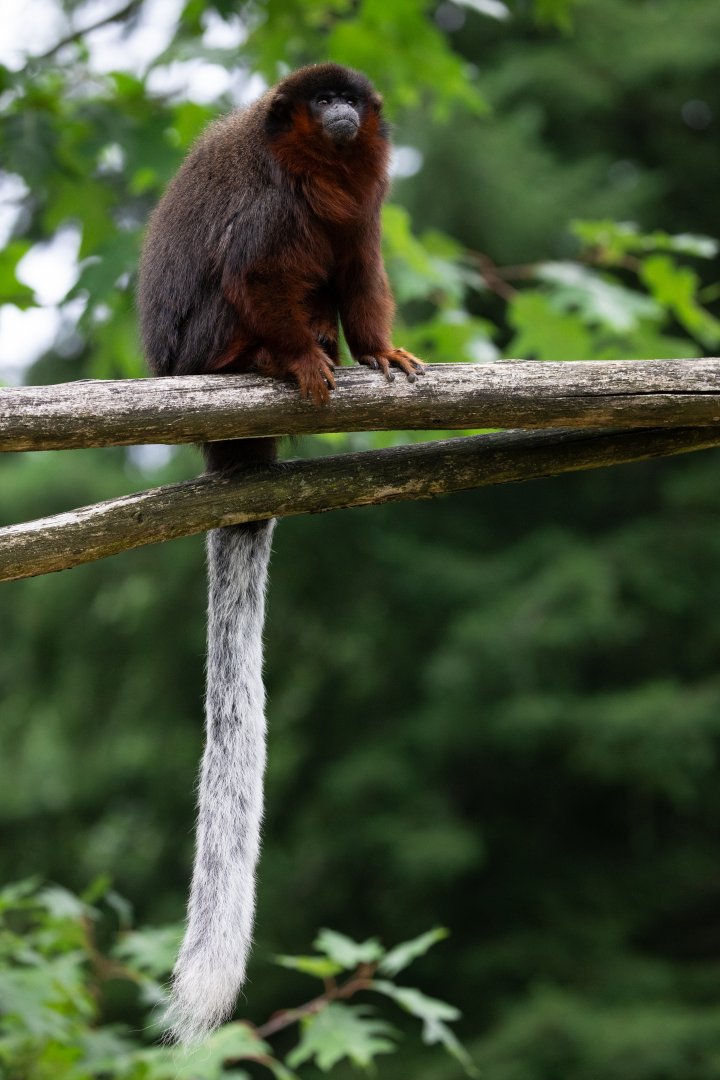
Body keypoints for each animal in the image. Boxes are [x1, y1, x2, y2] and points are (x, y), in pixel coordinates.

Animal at [137, 63, 423, 1044]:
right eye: (322, 101)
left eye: (351, 103)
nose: (338, 115)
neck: (318, 170)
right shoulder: (270, 207)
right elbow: (252, 269)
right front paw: (295, 358)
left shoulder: (363, 212)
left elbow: (360, 270)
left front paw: (377, 349)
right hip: (194, 350)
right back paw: (259, 359)